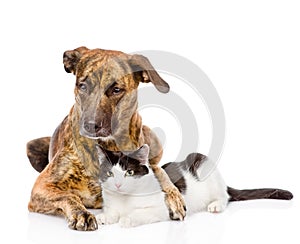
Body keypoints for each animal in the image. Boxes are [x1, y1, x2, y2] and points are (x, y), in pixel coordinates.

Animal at [27, 47, 185, 231]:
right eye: (83, 86)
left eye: (116, 90)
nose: (90, 125)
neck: (109, 144)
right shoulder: (42, 186)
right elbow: (68, 196)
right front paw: (81, 213)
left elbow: (160, 172)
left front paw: (173, 196)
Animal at [96, 144, 292, 228]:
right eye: (110, 173)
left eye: (129, 172)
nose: (118, 184)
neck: (124, 199)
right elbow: (111, 212)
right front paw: (104, 217)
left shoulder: (164, 209)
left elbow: (139, 214)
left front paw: (127, 219)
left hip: (204, 163)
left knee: (225, 196)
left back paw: (216, 205)